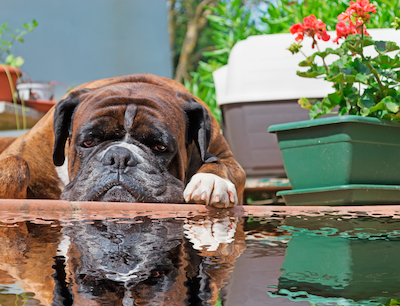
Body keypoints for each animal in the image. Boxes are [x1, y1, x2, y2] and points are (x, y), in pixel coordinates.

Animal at [0, 74, 245, 208]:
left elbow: (220, 164)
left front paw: (211, 181)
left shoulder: (227, 157)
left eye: (159, 147)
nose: (119, 157)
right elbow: (16, 166)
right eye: (88, 142)